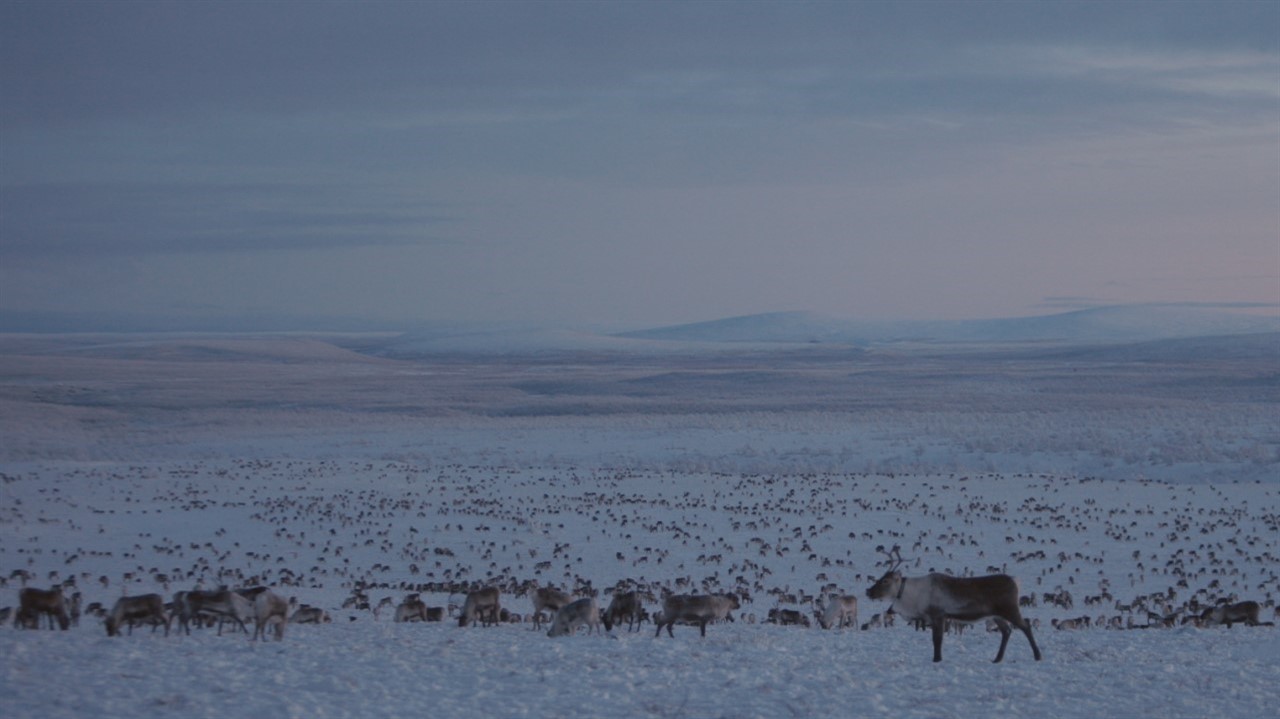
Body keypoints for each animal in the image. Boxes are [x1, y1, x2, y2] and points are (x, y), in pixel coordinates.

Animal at [866, 546, 1042, 663]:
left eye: (885, 581)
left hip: (1010, 609)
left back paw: (1037, 655)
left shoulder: (938, 614)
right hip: (996, 614)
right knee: (1007, 631)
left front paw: (937, 659)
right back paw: (997, 659)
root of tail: (1015, 581)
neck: (913, 597)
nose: (868, 591)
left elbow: (937, 639)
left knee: (1025, 626)